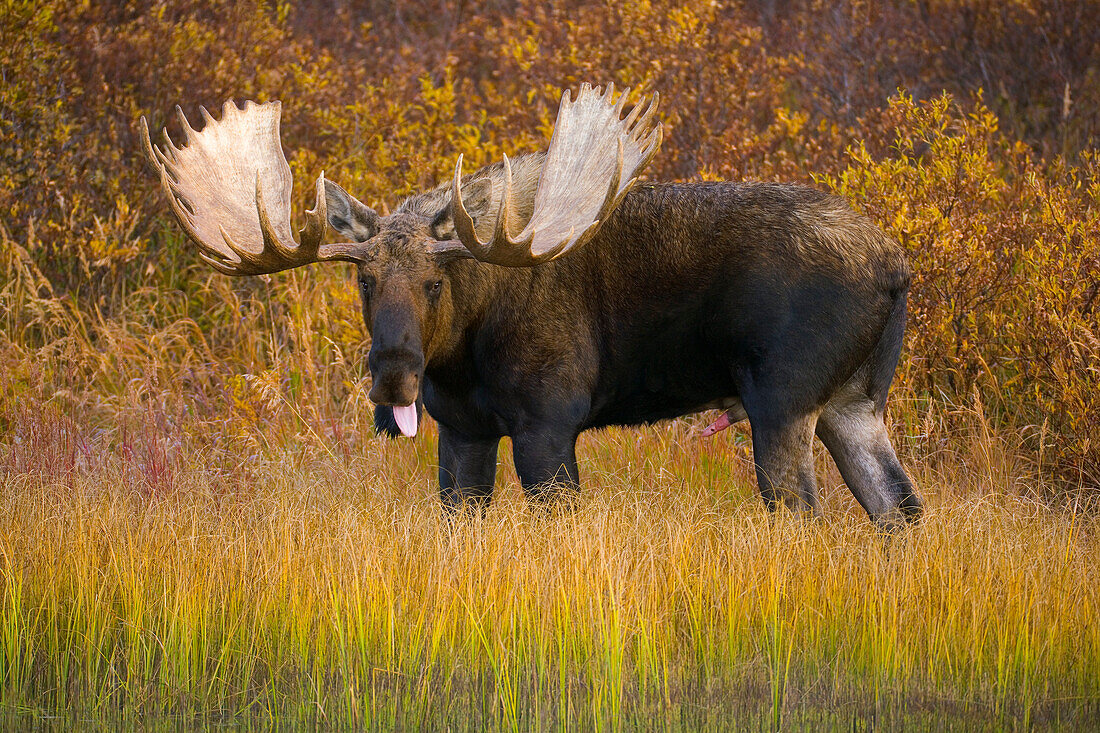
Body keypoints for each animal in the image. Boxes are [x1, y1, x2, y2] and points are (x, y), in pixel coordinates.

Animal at [141, 82, 924, 526]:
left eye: (434, 283)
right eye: (363, 281)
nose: (393, 377)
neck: (461, 358)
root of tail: (897, 268)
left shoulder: (549, 422)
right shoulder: (463, 431)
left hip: (783, 402)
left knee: (806, 515)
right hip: (855, 403)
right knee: (900, 508)